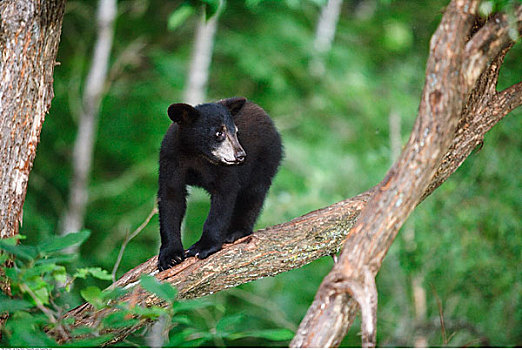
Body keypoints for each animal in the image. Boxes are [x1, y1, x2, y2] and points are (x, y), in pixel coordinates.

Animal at [156, 97, 282, 272]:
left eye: (236, 132)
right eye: (218, 133)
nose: (241, 155)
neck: (197, 154)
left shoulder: (226, 170)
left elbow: (224, 197)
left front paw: (203, 247)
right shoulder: (171, 158)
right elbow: (171, 198)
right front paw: (170, 256)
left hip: (265, 158)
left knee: (253, 193)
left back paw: (236, 232)